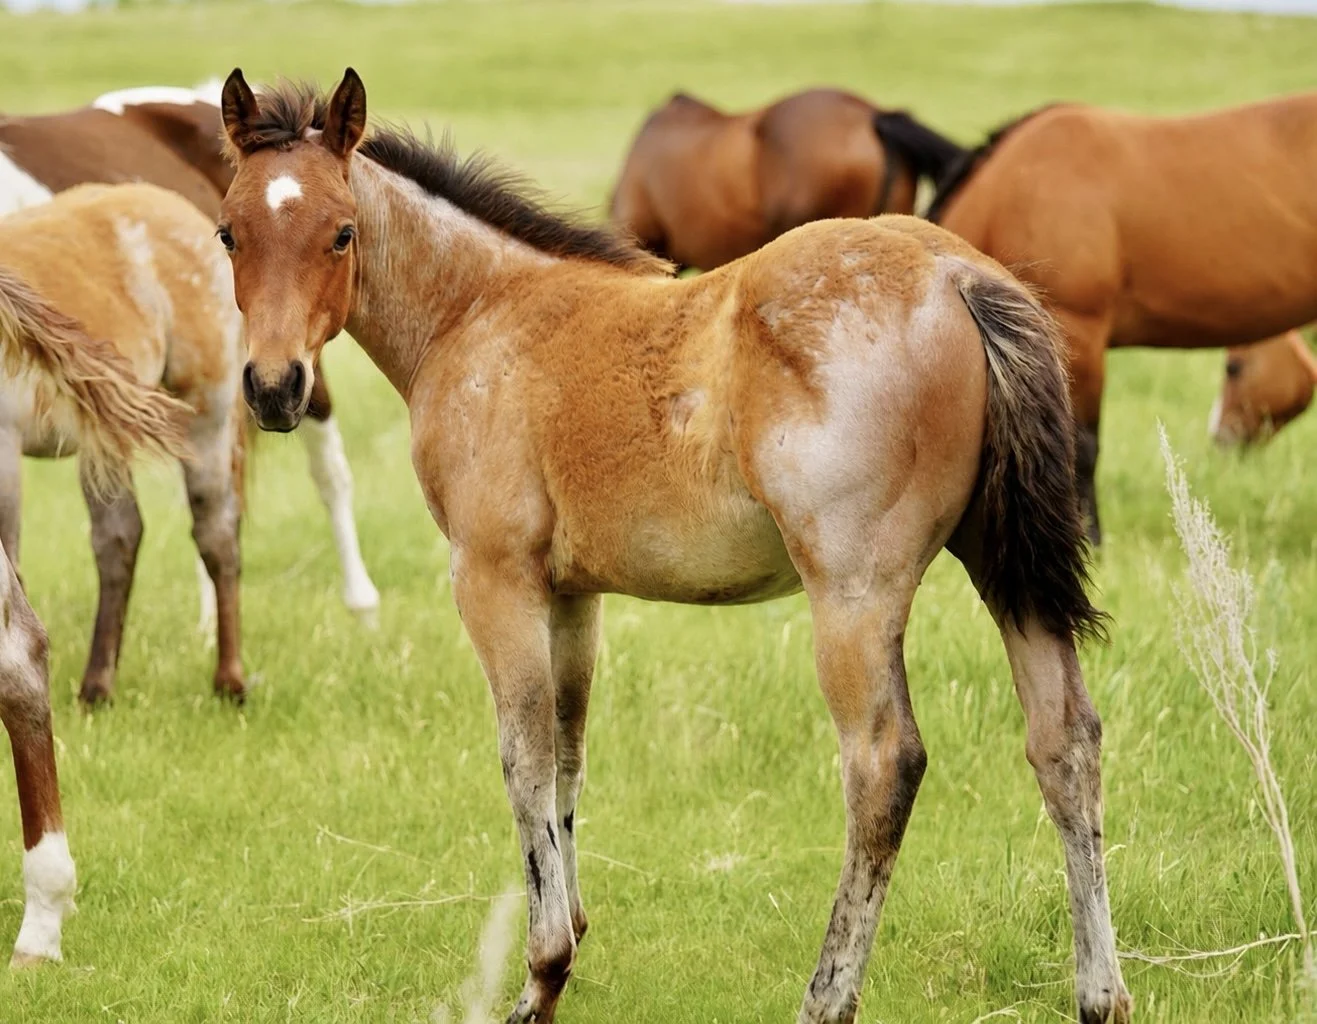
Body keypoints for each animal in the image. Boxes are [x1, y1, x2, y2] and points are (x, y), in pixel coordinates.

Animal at [0, 182, 249, 704]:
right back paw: (97, 686)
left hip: (205, 420)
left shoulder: (3, 448)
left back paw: (230, 682)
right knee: (119, 538)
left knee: (216, 536)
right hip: (105, 443)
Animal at [927, 95, 1317, 542]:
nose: (1222, 438)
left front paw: (1090, 539)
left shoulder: (1078, 330)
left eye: (1234, 368)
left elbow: (1081, 445)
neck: (1015, 191)